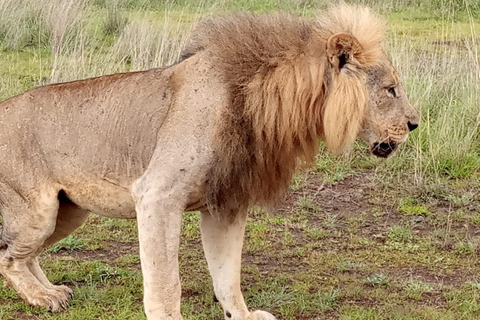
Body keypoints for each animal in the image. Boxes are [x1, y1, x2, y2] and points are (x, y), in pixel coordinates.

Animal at [0, 3, 416, 320]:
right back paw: (43, 297)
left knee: (25, 254)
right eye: (390, 89)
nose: (415, 123)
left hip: (70, 211)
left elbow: (227, 273)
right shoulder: (157, 195)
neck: (267, 103)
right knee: (9, 256)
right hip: (37, 211)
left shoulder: (227, 202)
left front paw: (242, 315)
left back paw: (52, 292)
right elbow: (166, 282)